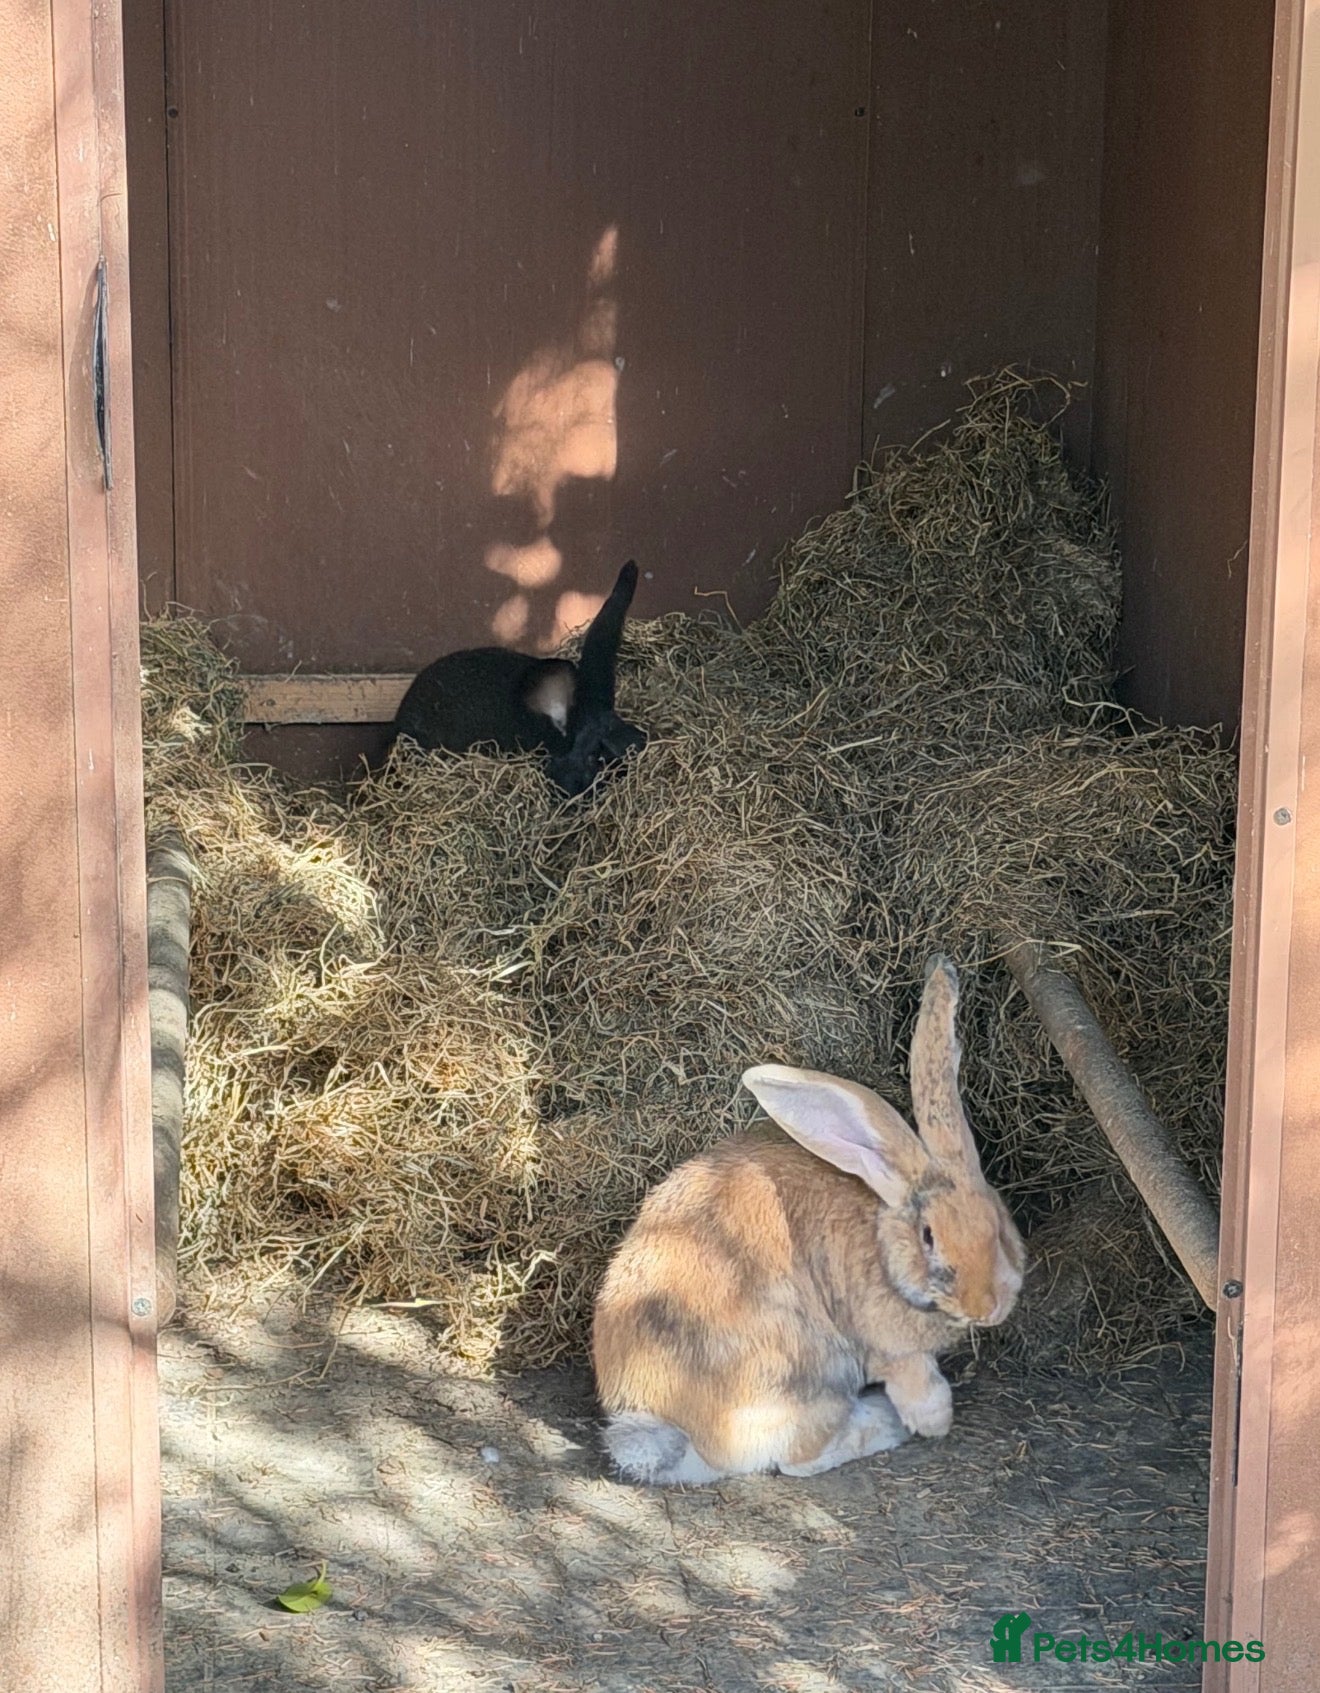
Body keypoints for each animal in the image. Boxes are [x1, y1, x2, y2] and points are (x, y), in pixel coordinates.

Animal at [591, 957, 1025, 1484]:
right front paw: (933, 1422)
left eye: (998, 1222)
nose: (989, 1307)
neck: (885, 1244)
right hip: (810, 1377)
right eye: (929, 1237)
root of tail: (677, 1438)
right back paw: (884, 1423)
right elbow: (919, 1388)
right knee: (799, 1458)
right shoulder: (890, 1351)